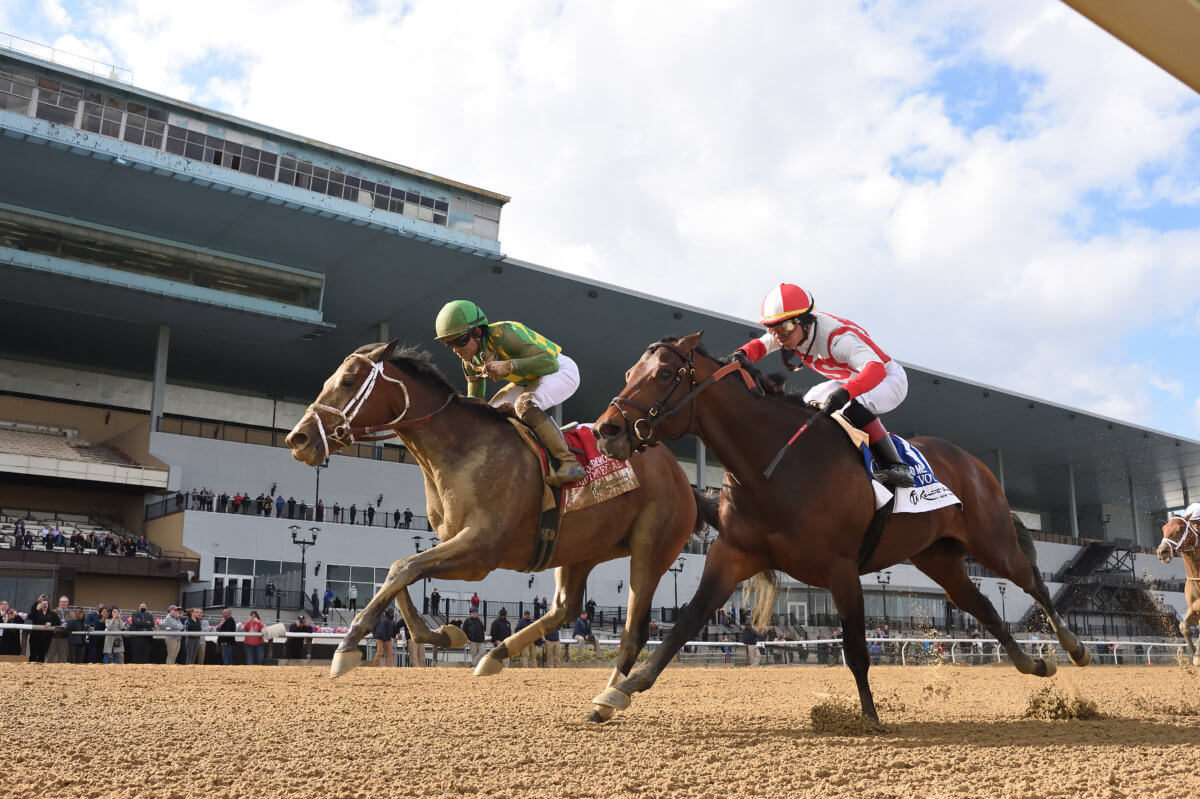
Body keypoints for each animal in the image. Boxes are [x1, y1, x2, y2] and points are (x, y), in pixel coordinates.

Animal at [282, 338, 700, 686]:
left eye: (349, 380)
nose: (298, 439)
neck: (462, 451)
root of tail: (681, 475)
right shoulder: (456, 543)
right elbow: (401, 574)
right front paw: (440, 633)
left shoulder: (480, 552)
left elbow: (403, 568)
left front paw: (347, 645)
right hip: (580, 551)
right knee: (565, 609)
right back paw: (495, 655)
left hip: (651, 546)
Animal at [588, 328, 1089, 719]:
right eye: (631, 373)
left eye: (664, 375)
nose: (606, 431)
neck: (775, 466)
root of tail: (973, 462)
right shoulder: (733, 554)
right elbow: (686, 622)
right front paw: (619, 691)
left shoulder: (841, 567)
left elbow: (856, 648)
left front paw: (869, 717)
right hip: (939, 558)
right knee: (982, 606)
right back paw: (1033, 664)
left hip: (991, 541)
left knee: (1031, 582)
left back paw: (1074, 647)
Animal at [1152, 511, 1200, 667]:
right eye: (1163, 529)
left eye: (1180, 529)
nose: (1162, 551)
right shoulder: (1193, 607)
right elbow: (1183, 626)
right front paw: (1195, 655)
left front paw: (1197, 654)